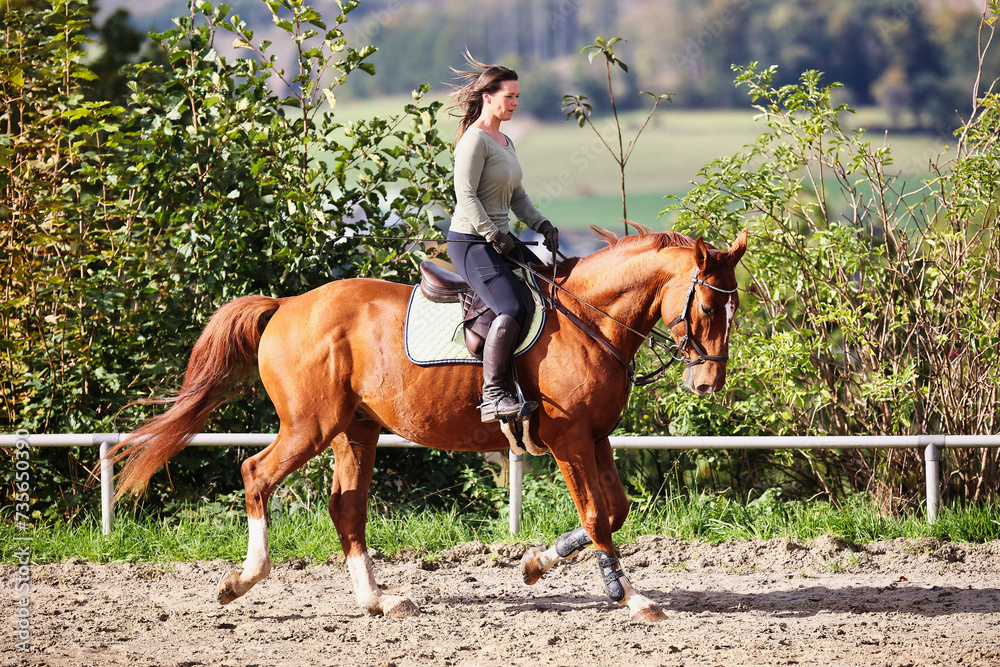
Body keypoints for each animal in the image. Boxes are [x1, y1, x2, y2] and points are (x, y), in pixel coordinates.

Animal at [113, 224, 748, 620]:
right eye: (707, 307)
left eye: (734, 309)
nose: (706, 385)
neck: (590, 320)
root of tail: (287, 305)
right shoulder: (568, 439)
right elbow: (597, 515)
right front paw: (628, 597)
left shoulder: (597, 437)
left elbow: (613, 511)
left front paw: (536, 563)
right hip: (310, 427)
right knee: (256, 475)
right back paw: (241, 580)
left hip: (356, 431)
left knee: (346, 508)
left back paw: (378, 601)